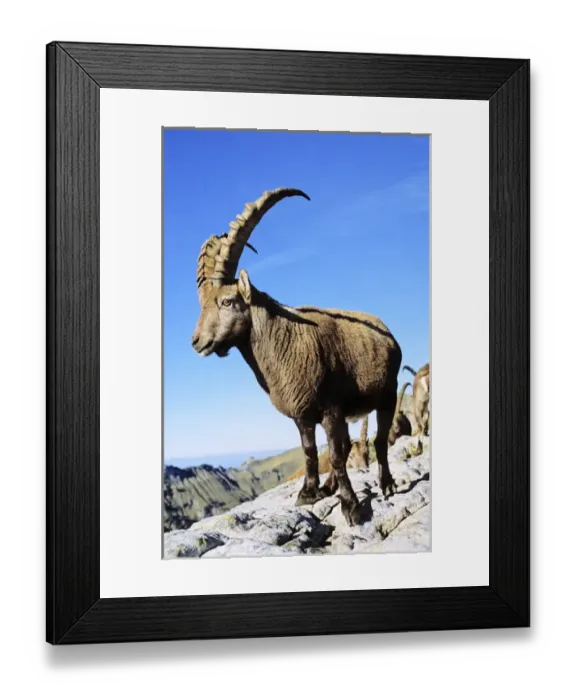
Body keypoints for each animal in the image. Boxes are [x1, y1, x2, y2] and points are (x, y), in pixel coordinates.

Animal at [191, 188, 402, 526]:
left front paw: (351, 507)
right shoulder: (303, 415)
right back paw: (331, 486)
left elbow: (336, 454)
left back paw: (386, 484)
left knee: (380, 442)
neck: (285, 340)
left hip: (387, 394)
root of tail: (388, 331)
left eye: (226, 301)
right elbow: (310, 451)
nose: (197, 342)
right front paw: (309, 493)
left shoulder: (330, 409)